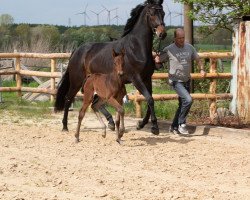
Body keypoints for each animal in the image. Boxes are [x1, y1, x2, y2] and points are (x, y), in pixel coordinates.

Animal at [55, 0, 167, 135]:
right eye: (151, 14)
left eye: (163, 13)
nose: (162, 33)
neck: (136, 47)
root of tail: (76, 51)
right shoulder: (136, 79)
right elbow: (149, 99)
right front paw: (154, 127)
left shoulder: (147, 79)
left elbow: (150, 100)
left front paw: (141, 124)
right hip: (77, 81)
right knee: (68, 99)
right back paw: (65, 126)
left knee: (95, 102)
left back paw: (111, 123)